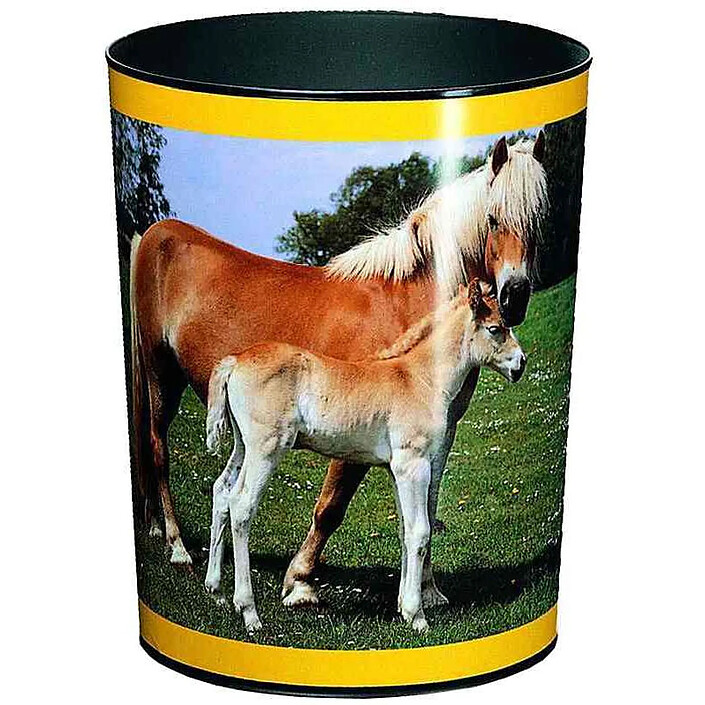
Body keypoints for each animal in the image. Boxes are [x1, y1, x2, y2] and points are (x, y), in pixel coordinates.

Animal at [129, 133, 547, 573]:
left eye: (538, 218)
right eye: (494, 219)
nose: (515, 296)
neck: (405, 302)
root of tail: (153, 235)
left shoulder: (438, 436)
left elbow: (425, 512)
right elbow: (332, 507)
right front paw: (300, 575)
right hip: (160, 375)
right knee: (157, 449)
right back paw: (176, 543)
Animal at [204, 281, 525, 632]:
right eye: (495, 328)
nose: (520, 364)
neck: (420, 379)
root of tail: (235, 360)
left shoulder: (397, 470)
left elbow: (404, 530)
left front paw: (402, 606)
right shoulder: (414, 465)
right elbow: (420, 531)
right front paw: (417, 615)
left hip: (242, 446)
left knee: (221, 492)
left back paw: (216, 590)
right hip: (266, 448)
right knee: (241, 505)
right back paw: (249, 612)